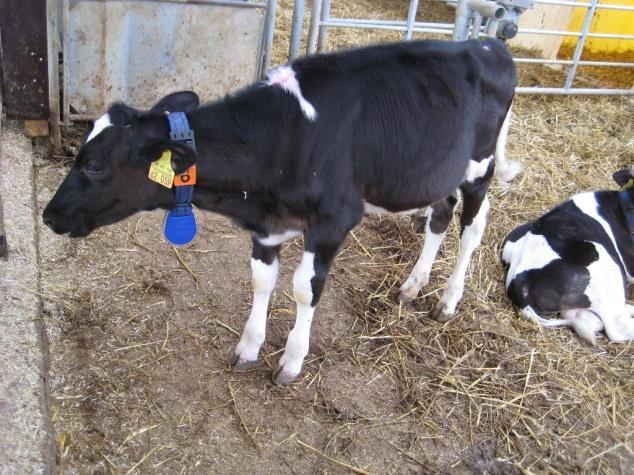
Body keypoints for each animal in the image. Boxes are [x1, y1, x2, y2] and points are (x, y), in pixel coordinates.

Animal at [42, 39, 516, 384]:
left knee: (472, 228)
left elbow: (305, 290)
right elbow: (261, 280)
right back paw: (413, 285)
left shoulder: (334, 221)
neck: (284, 136)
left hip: (480, 166)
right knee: (440, 215)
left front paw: (291, 360)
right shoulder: (265, 226)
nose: (49, 216)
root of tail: (488, 44)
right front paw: (249, 347)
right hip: (437, 172)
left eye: (94, 165)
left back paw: (448, 300)